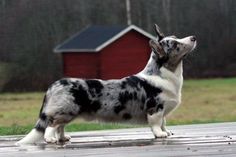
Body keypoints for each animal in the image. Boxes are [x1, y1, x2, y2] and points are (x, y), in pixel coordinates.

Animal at [15, 23, 197, 145]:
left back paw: (63, 138)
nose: (193, 37)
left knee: (60, 126)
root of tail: (54, 85)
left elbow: (164, 123)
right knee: (52, 124)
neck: (166, 75)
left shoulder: (163, 111)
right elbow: (157, 124)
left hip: (69, 113)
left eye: (175, 37)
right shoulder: (155, 109)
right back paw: (50, 139)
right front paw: (160, 135)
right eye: (175, 45)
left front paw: (168, 132)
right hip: (66, 110)